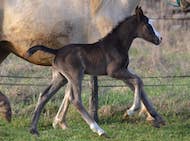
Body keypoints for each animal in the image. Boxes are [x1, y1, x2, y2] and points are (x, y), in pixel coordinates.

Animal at [0, 0, 163, 129]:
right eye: (148, 26)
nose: (160, 39)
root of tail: (57, 51)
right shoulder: (115, 71)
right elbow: (137, 81)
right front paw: (134, 111)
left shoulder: (120, 70)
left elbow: (137, 82)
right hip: (73, 74)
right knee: (73, 98)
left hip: (59, 75)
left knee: (46, 94)